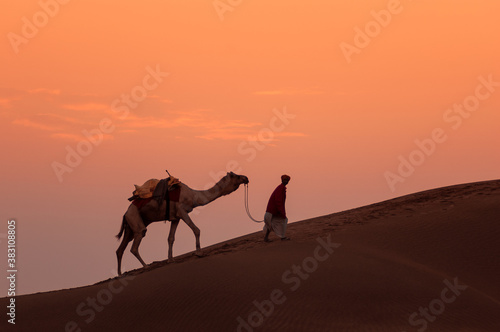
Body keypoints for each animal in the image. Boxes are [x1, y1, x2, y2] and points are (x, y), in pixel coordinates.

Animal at [114, 171, 248, 274]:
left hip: (130, 227)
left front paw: (170, 260)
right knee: (135, 245)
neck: (194, 196)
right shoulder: (183, 211)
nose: (246, 178)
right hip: (135, 220)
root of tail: (125, 214)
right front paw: (199, 252)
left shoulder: (175, 218)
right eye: (236, 176)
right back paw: (146, 266)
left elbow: (171, 238)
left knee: (121, 249)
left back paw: (120, 274)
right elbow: (196, 229)